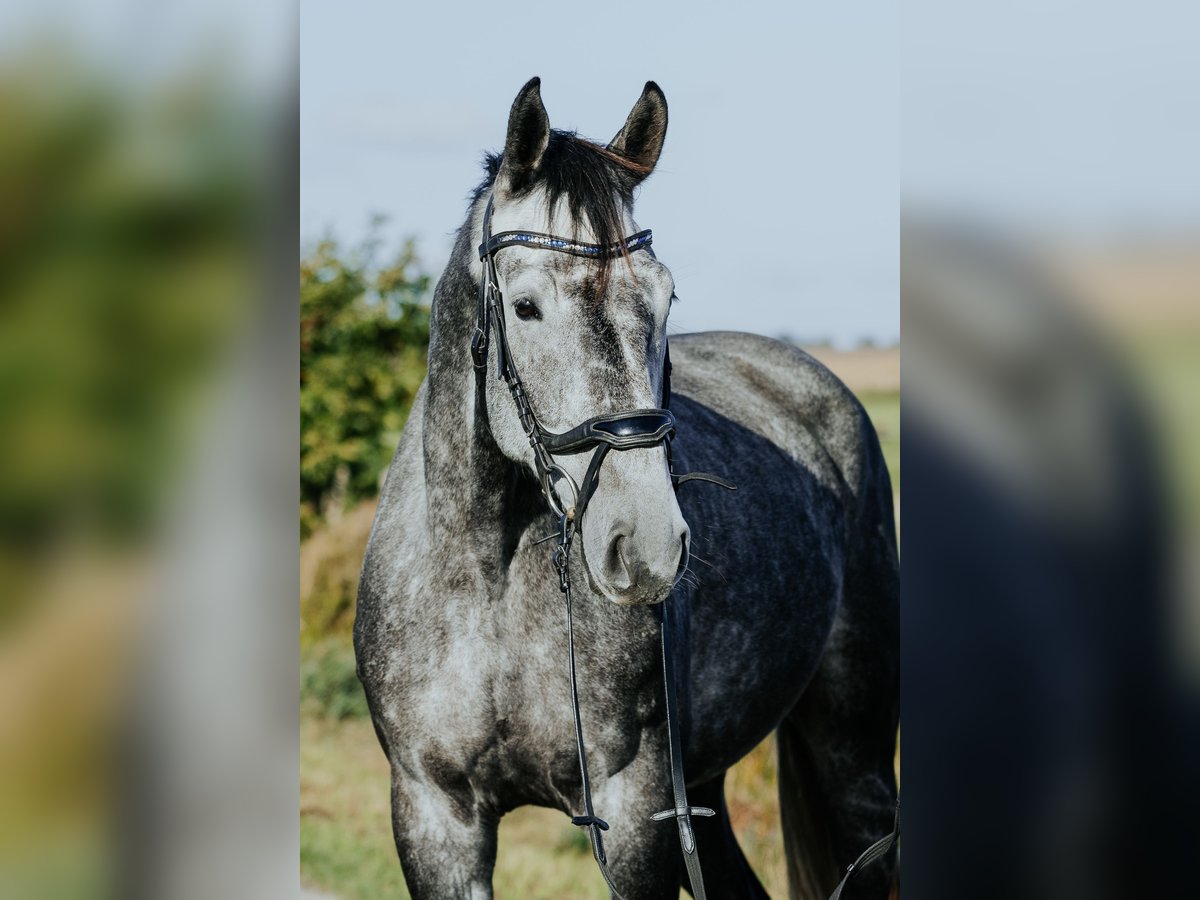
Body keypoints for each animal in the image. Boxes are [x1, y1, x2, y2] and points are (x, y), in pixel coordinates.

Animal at [355, 79, 902, 900]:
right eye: (525, 306)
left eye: (665, 297)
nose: (645, 546)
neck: (488, 580)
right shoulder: (435, 817)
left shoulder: (637, 811)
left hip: (853, 752)